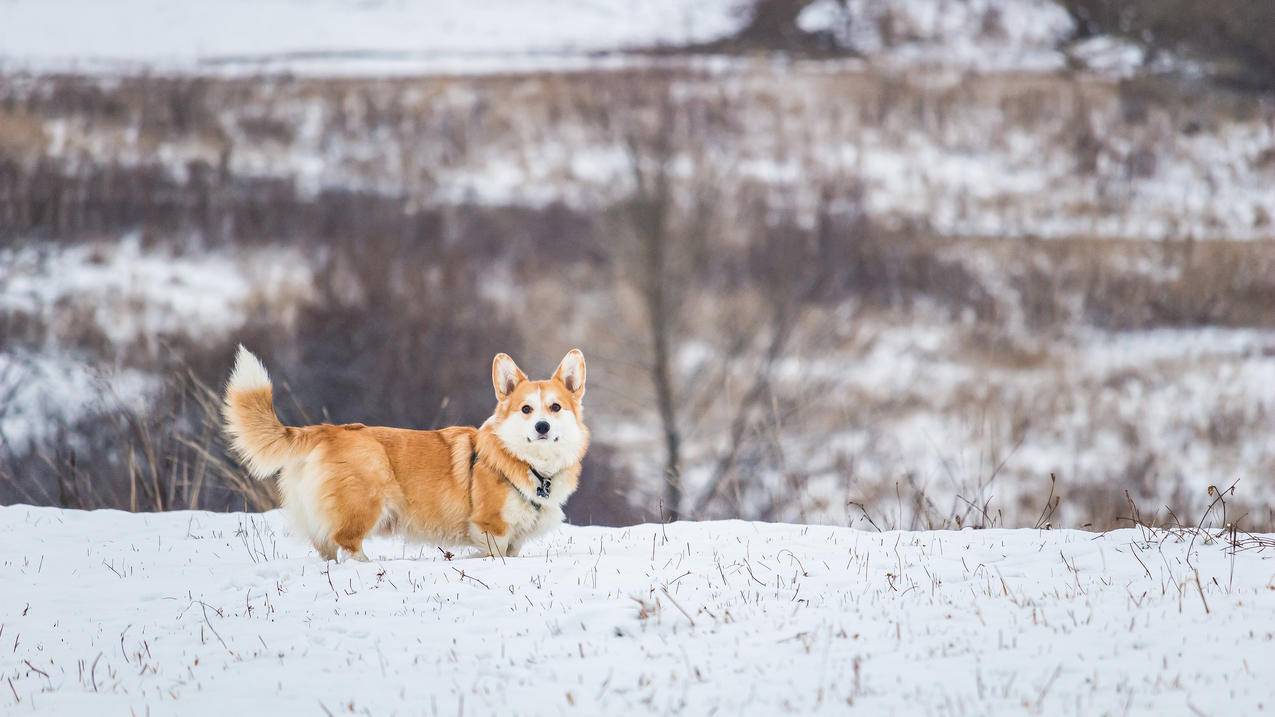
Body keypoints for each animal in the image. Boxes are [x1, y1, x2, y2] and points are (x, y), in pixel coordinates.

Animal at [221, 347, 589, 558]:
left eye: (555, 407)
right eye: (526, 409)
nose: (542, 427)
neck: (531, 465)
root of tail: (328, 429)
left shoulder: (514, 541)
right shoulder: (491, 528)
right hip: (365, 502)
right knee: (347, 544)